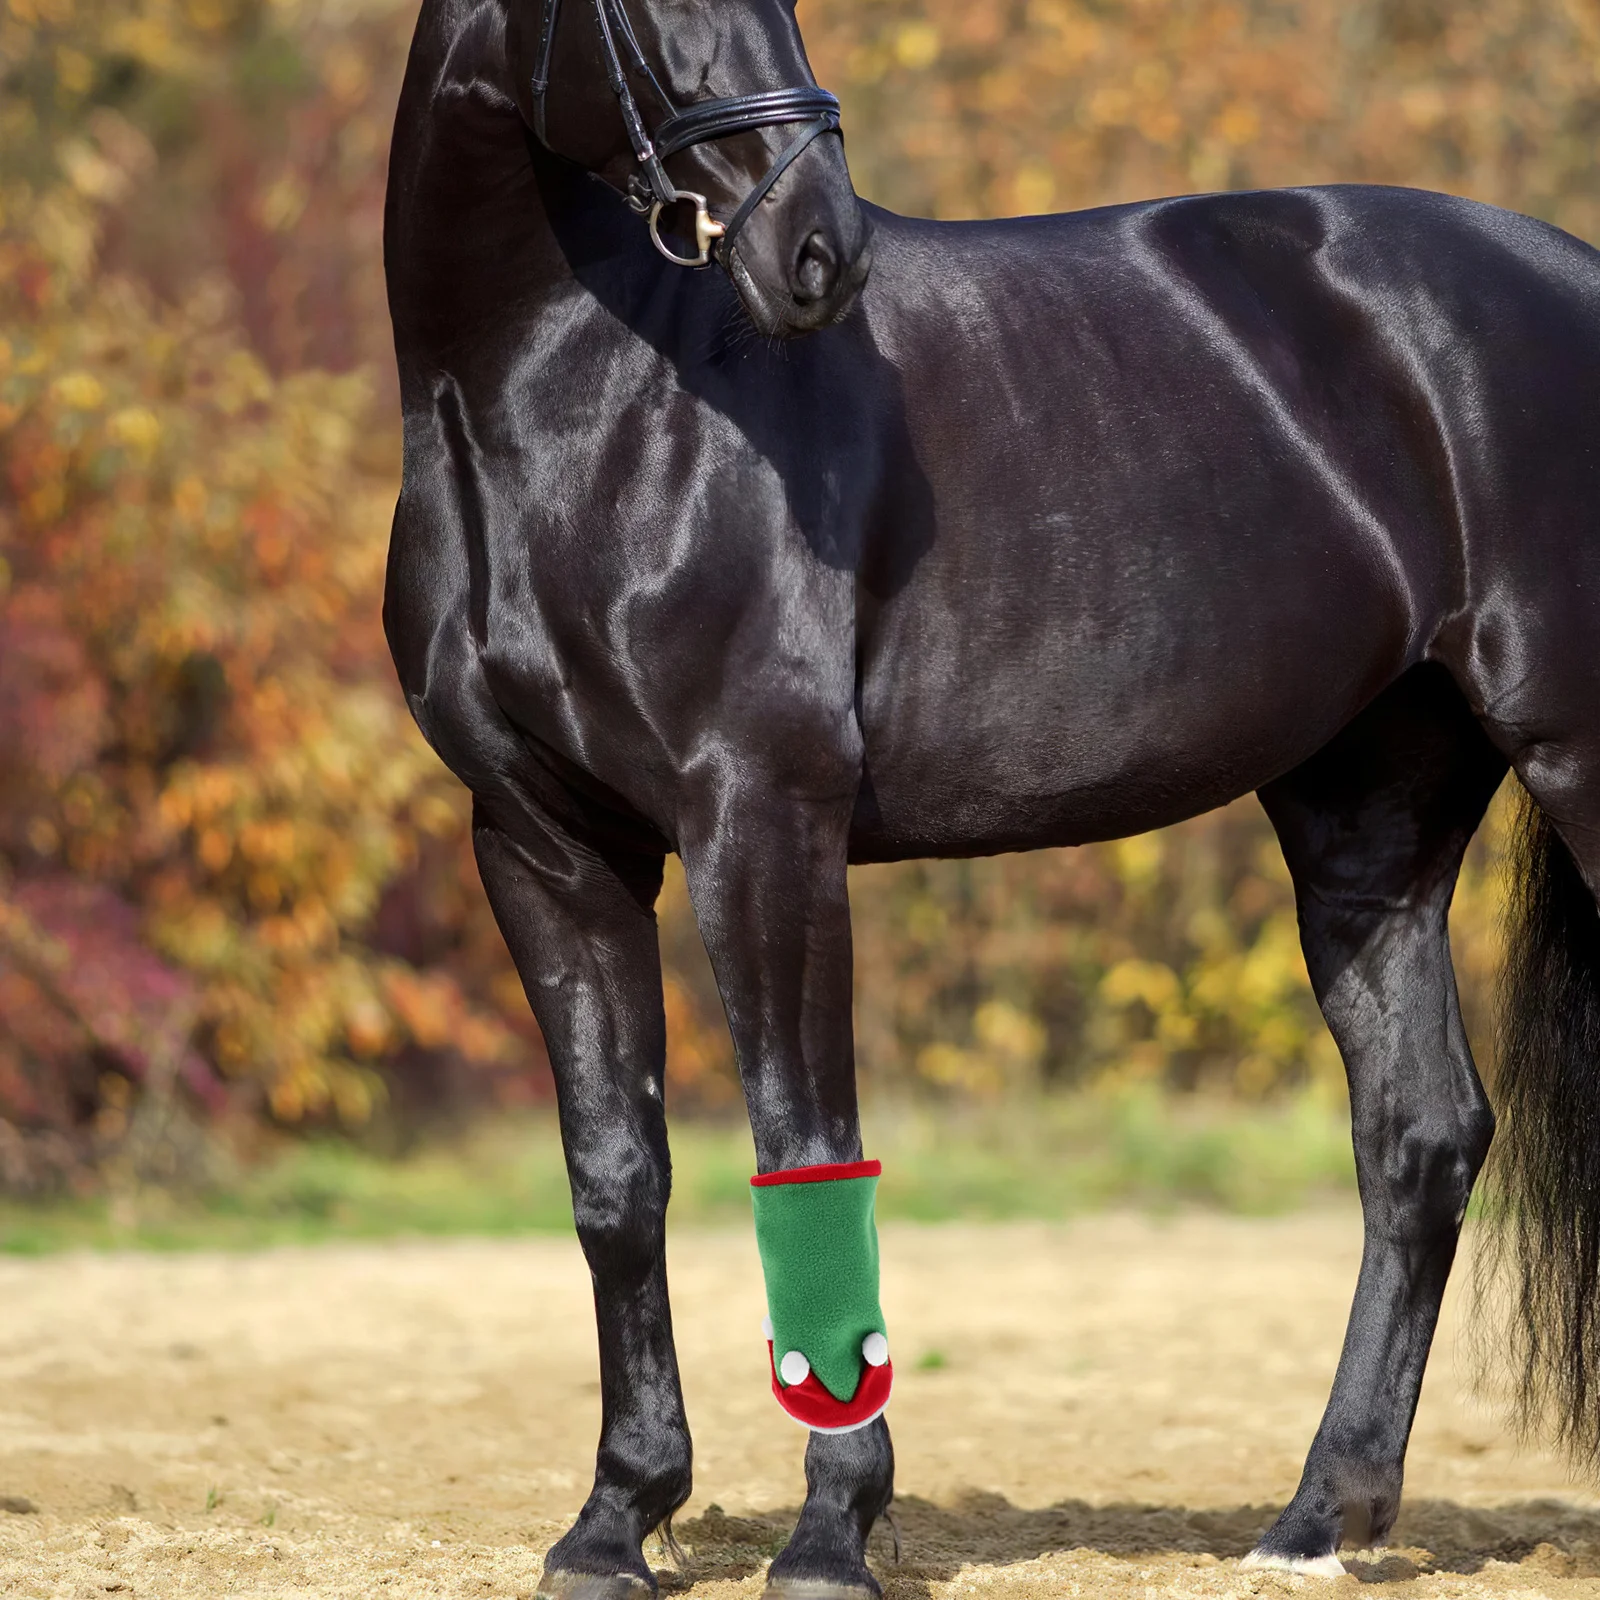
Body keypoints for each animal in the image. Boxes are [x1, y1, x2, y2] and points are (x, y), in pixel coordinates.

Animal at [382, 0, 1600, 1589]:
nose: (818, 253)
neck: (579, 405)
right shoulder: (543, 846)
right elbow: (615, 1178)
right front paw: (614, 1518)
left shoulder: (760, 822)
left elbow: (805, 1149)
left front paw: (831, 1528)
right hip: (1367, 824)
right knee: (1420, 1138)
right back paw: (1314, 1518)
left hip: (1575, 755)